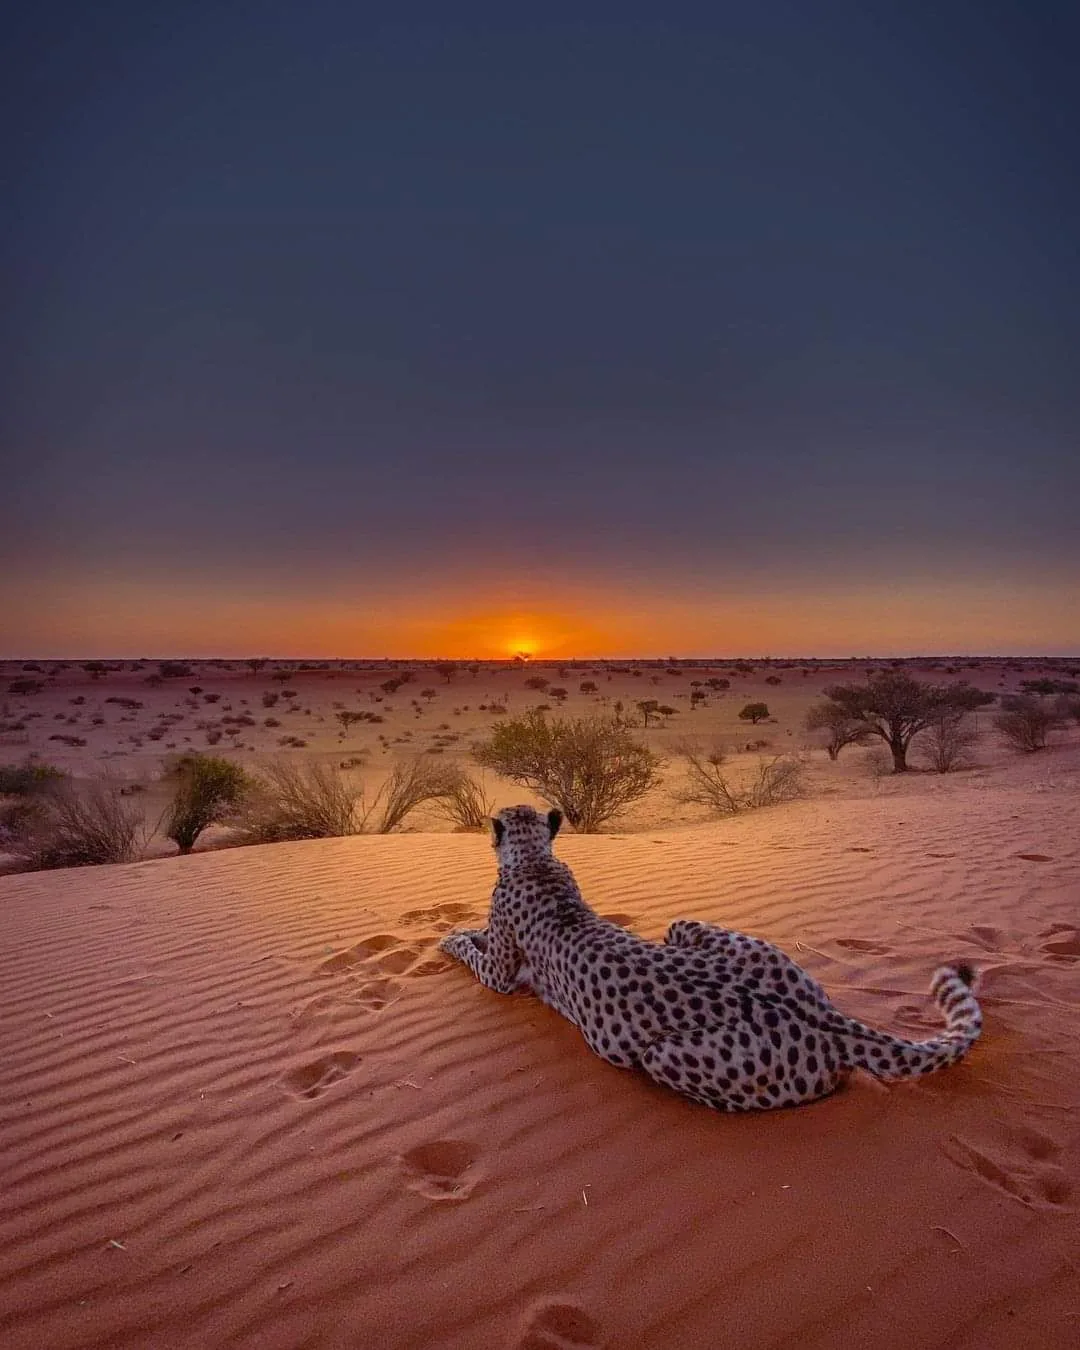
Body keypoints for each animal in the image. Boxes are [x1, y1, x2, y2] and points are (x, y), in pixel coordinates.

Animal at [438, 804, 983, 1112]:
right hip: (690, 929)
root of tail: (823, 1017)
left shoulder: (500, 974)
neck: (535, 859)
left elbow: (473, 949)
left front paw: (450, 937)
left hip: (662, 1055)